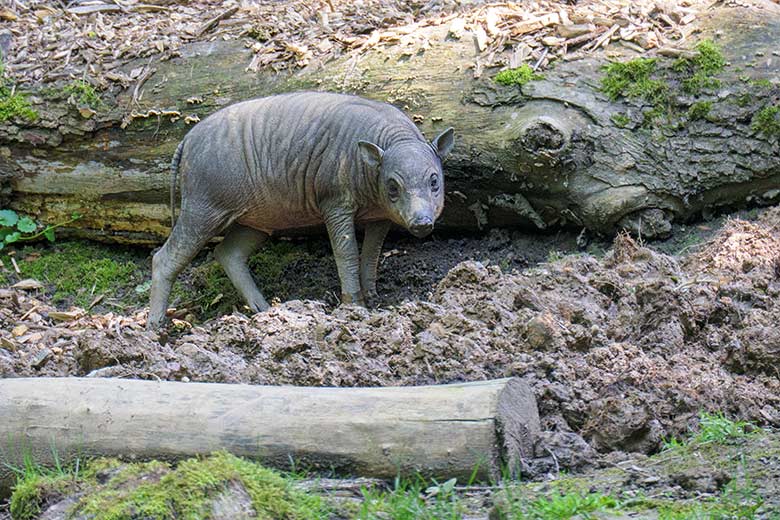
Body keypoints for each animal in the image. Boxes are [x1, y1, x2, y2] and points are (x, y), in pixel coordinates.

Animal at [147, 91, 454, 328]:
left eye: (434, 181)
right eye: (392, 186)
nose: (422, 223)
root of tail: (185, 141)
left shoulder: (380, 216)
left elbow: (371, 254)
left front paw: (373, 297)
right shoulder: (335, 202)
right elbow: (346, 253)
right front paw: (354, 305)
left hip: (257, 219)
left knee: (227, 253)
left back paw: (263, 309)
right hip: (203, 208)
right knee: (164, 258)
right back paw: (154, 326)